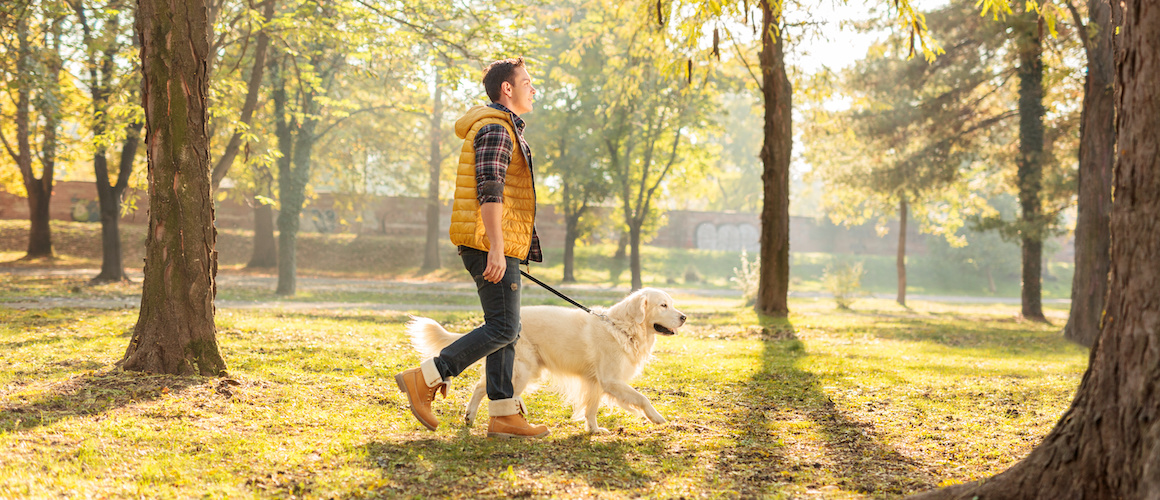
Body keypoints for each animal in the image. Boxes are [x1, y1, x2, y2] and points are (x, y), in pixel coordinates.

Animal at [406, 287, 682, 431]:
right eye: (663, 305)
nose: (684, 317)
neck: (623, 327)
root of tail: (493, 325)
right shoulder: (611, 380)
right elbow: (642, 398)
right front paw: (656, 417)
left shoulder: (595, 382)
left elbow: (591, 408)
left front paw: (593, 430)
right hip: (523, 371)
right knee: (488, 391)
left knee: (484, 388)